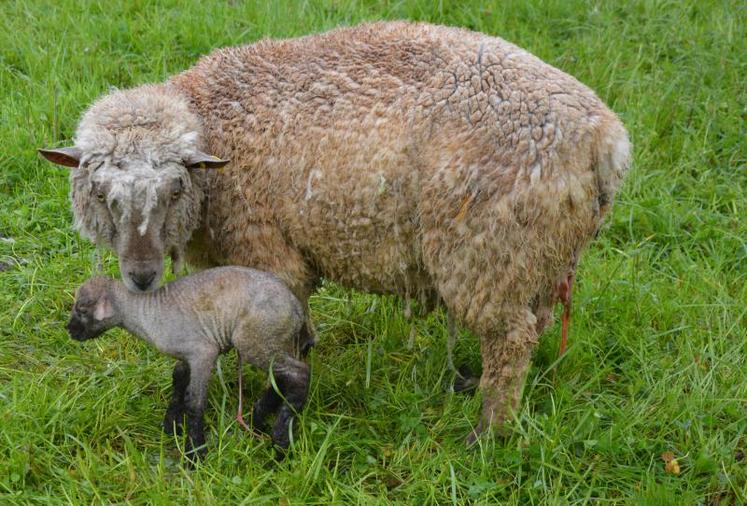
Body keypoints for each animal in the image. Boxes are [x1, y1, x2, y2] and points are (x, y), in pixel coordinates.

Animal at [42, 21, 632, 440]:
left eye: (174, 189)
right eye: (102, 194)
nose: (141, 277)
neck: (217, 133)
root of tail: (606, 141)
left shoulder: (267, 249)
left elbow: (277, 333)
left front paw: (266, 406)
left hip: (487, 252)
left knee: (510, 341)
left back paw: (488, 431)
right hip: (540, 253)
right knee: (535, 325)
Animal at [66, 266, 316, 460]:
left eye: (82, 309)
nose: (69, 331)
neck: (145, 314)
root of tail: (297, 308)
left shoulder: (202, 352)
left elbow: (194, 402)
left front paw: (194, 453)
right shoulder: (186, 356)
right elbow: (178, 380)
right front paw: (171, 426)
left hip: (254, 339)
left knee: (299, 373)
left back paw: (281, 440)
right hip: (277, 341)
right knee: (281, 377)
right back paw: (258, 418)